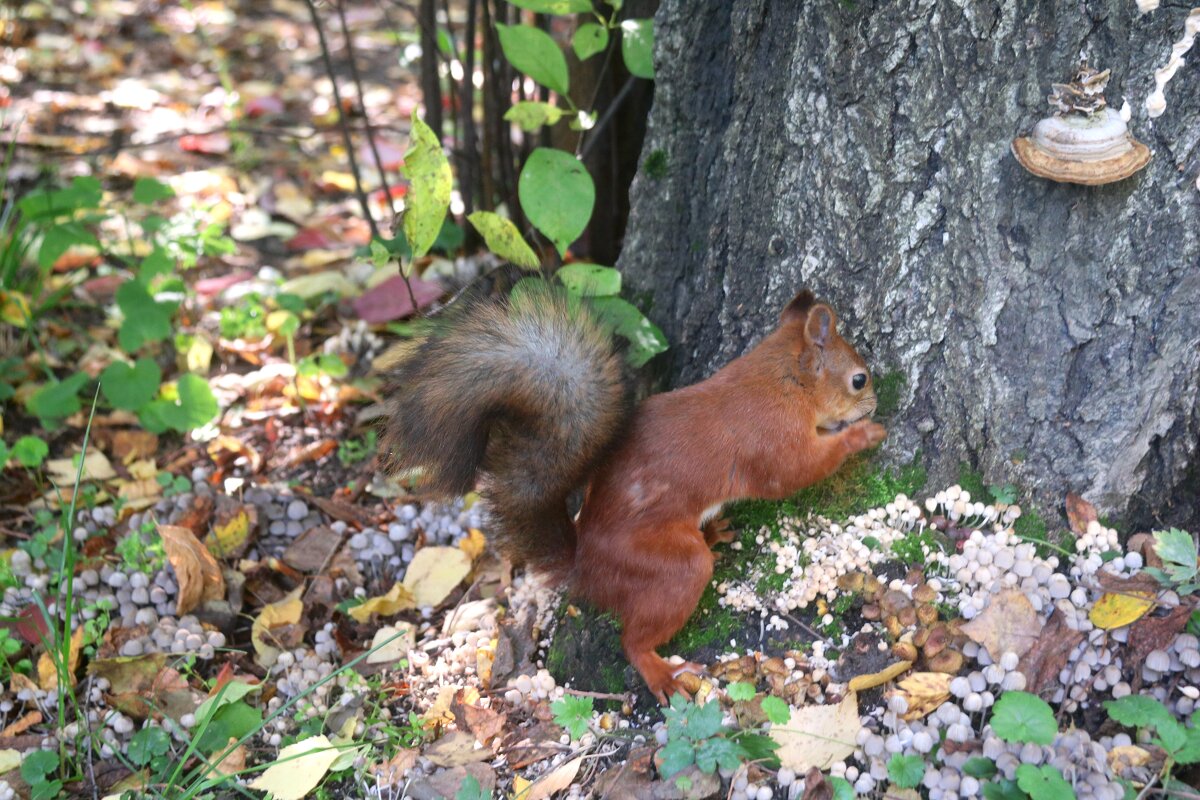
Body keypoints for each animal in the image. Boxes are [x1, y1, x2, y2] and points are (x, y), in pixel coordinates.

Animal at [379, 283, 888, 700]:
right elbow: (797, 472)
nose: (873, 402)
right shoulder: (772, 440)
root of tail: (585, 565)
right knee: (635, 638)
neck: (780, 379)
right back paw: (660, 670)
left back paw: (714, 533)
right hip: (665, 567)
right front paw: (861, 435)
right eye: (858, 379)